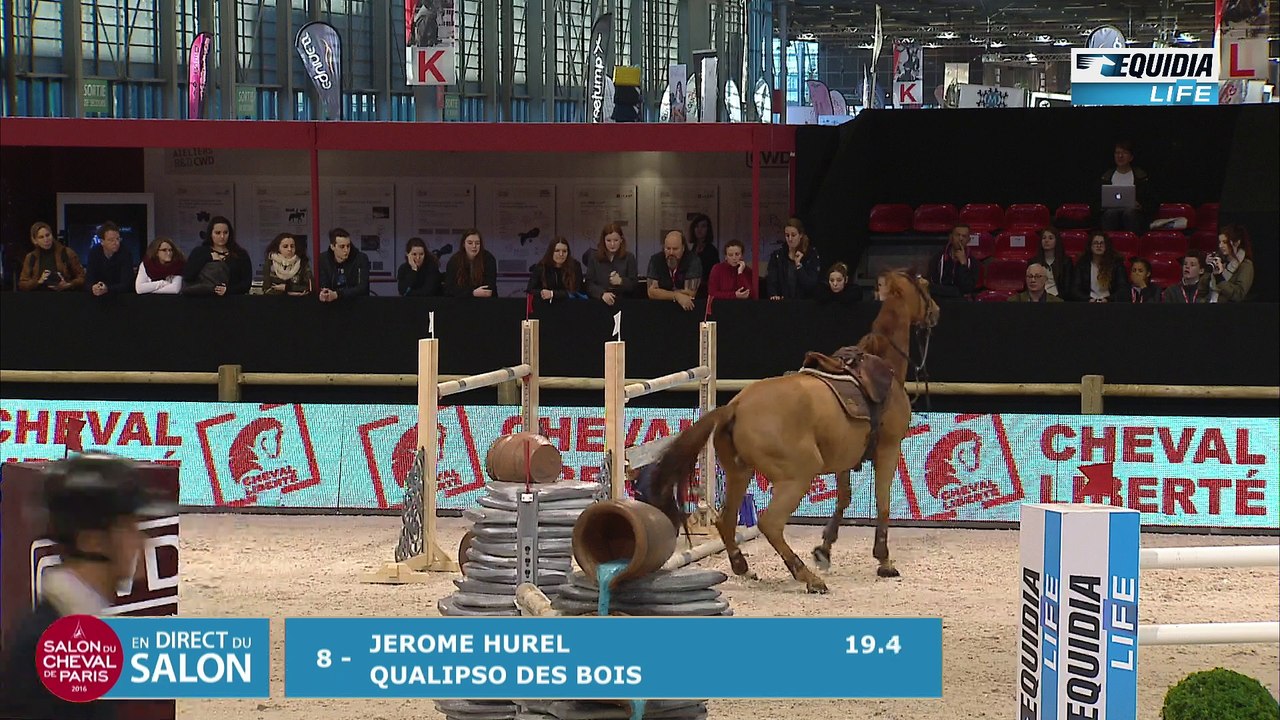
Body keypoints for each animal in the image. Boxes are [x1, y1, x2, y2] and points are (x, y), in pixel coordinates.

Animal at [643, 269, 940, 593]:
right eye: (925, 286)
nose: (936, 312)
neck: (883, 368)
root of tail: (735, 406)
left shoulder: (845, 459)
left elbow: (844, 498)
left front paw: (824, 550)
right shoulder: (888, 449)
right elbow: (883, 504)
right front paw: (884, 560)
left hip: (740, 473)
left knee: (726, 520)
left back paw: (742, 566)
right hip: (798, 475)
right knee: (770, 523)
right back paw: (807, 577)